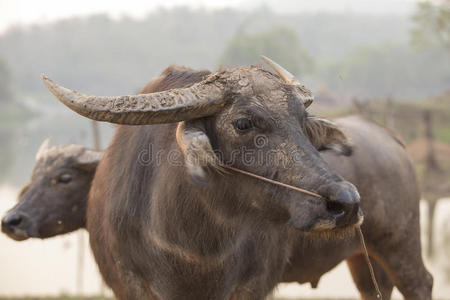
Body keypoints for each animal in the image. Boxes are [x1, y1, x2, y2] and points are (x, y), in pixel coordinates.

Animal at [42, 59, 366, 298]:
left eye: (302, 122)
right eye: (243, 123)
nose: (346, 202)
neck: (195, 247)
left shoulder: (251, 285)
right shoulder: (132, 283)